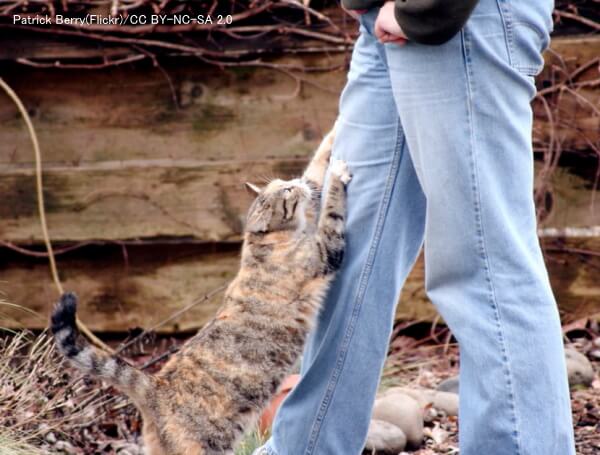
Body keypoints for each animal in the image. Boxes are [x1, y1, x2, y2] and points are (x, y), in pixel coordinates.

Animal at [52, 129, 352, 455]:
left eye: (285, 183)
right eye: (286, 192)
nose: (294, 182)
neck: (263, 242)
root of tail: (154, 388)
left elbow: (316, 167)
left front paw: (333, 139)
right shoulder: (325, 251)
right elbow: (332, 211)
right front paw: (338, 174)